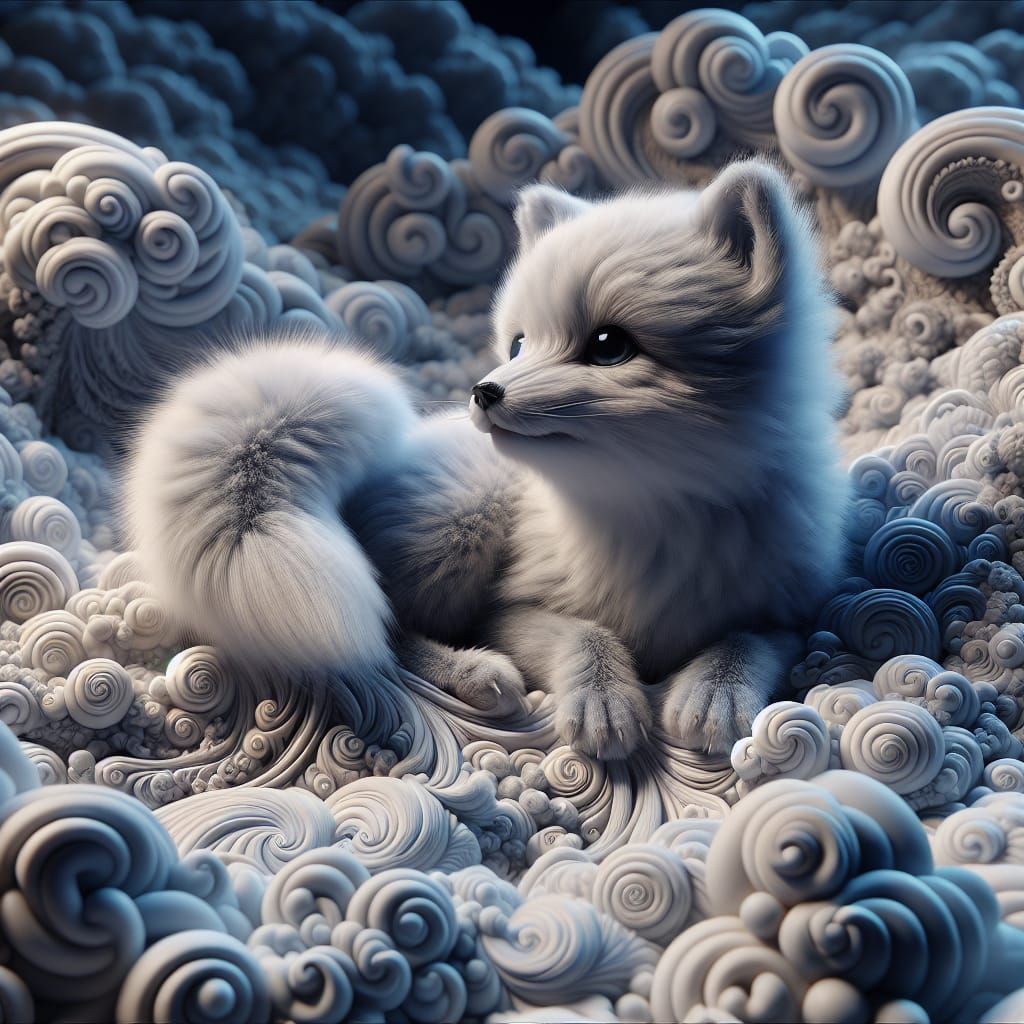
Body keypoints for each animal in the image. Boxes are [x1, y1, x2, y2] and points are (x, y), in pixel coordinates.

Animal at [124, 159, 847, 759]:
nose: (485, 391)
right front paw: (605, 701)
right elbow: (585, 634)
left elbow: (746, 640)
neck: (651, 520)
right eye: (520, 343)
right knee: (383, 633)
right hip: (463, 522)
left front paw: (713, 693)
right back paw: (473, 672)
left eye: (609, 346)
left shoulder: (795, 608)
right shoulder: (510, 611)